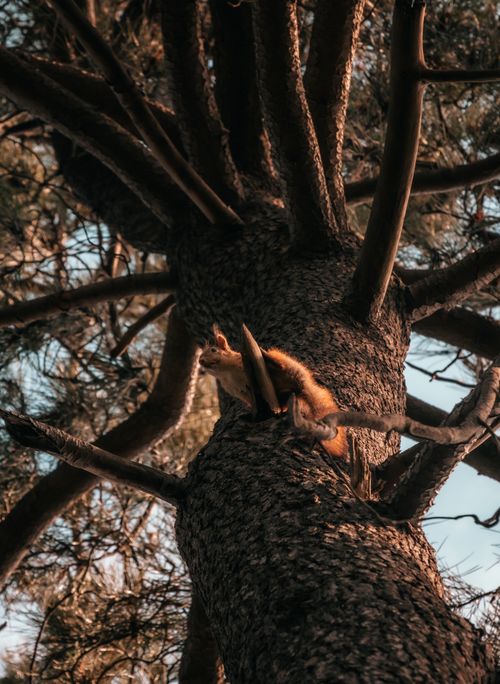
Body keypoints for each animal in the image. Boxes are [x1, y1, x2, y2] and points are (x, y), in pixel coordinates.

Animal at [199, 329, 348, 459]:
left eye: (213, 350)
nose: (200, 360)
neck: (225, 374)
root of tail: (301, 387)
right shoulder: (239, 392)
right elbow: (252, 402)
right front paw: (251, 414)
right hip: (283, 393)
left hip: (288, 366)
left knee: (282, 366)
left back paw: (268, 357)